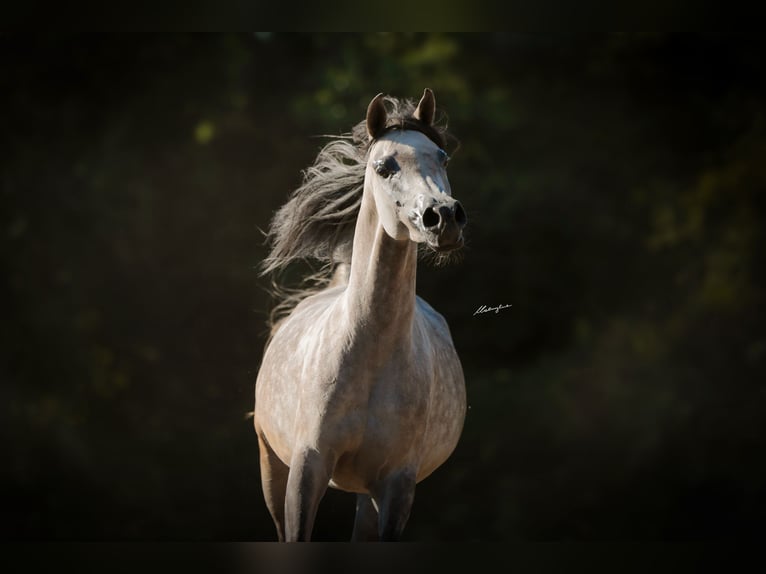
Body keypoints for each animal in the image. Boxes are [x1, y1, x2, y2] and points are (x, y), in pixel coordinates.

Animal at [254, 89, 467, 541]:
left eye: (442, 157)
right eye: (383, 166)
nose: (443, 218)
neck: (369, 352)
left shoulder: (396, 484)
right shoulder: (307, 468)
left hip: (366, 493)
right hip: (271, 463)